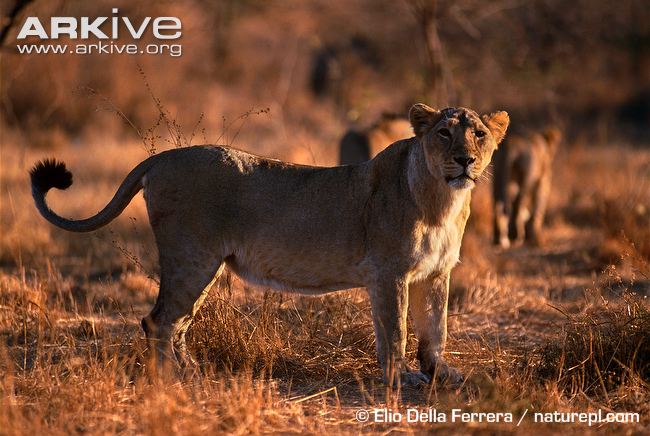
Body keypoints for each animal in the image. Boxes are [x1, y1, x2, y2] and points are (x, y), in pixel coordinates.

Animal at [31, 104, 508, 387]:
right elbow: (395, 332)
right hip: (192, 258)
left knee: (176, 321)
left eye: (479, 135)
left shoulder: (438, 273)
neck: (442, 199)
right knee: (158, 321)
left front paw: (441, 373)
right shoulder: (389, 273)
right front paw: (401, 379)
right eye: (444, 134)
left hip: (206, 265)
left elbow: (436, 329)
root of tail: (162, 157)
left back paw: (193, 372)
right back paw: (177, 381)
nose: (465, 160)